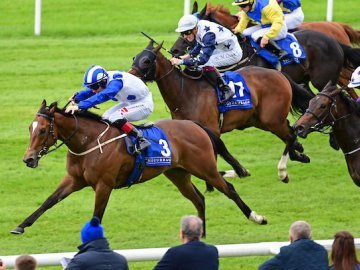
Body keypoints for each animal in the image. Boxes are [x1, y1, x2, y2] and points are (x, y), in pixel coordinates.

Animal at [11, 100, 268, 234]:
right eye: (30, 128)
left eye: (43, 130)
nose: (28, 159)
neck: (89, 142)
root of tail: (196, 125)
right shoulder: (73, 180)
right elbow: (48, 202)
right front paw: (21, 226)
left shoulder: (104, 185)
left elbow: (96, 216)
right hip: (178, 174)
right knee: (198, 199)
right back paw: (200, 234)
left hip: (206, 169)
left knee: (229, 189)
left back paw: (256, 217)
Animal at [130, 40, 316, 184]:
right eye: (134, 57)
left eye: (146, 61)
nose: (130, 76)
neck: (186, 93)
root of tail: (278, 74)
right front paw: (240, 171)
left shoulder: (211, 130)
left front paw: (238, 171)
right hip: (261, 120)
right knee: (289, 133)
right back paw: (300, 154)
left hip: (272, 119)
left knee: (289, 136)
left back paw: (283, 171)